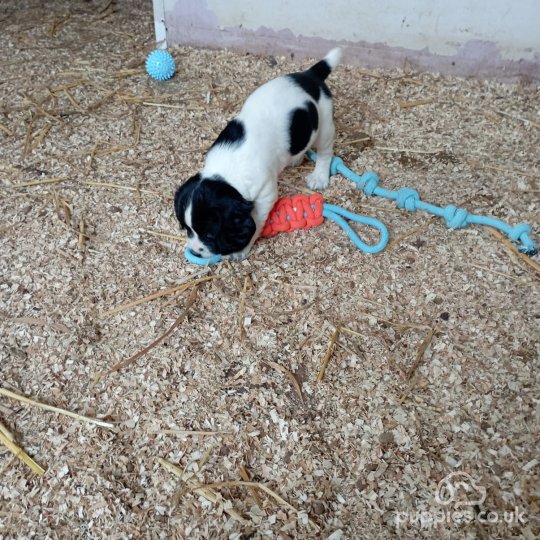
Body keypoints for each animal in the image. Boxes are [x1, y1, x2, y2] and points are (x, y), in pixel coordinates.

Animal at [174, 47, 342, 260]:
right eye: (186, 228)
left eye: (209, 234)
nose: (195, 252)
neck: (225, 173)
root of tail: (310, 75)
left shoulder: (265, 194)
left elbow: (256, 220)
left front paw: (242, 249)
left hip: (325, 124)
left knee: (325, 152)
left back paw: (319, 176)